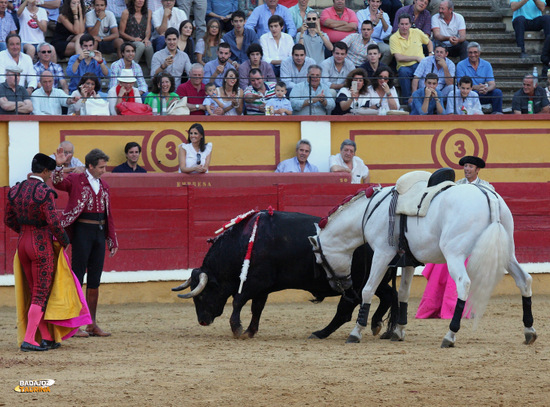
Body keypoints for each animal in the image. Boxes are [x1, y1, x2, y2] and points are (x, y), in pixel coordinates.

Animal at [172, 212, 396, 340]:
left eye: (201, 295)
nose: (202, 321)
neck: (244, 243)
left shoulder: (255, 282)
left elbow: (238, 301)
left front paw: (237, 329)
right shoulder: (262, 288)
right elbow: (256, 308)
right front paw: (250, 331)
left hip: (354, 285)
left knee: (345, 311)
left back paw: (320, 333)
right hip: (374, 280)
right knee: (388, 295)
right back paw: (379, 326)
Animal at [310, 180, 540, 350]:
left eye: (319, 260)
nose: (341, 286)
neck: (369, 211)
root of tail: (487, 195)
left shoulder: (383, 254)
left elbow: (368, 289)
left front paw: (356, 332)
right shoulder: (408, 261)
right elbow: (403, 293)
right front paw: (398, 331)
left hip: (454, 253)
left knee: (463, 284)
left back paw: (450, 335)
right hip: (507, 252)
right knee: (524, 279)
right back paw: (529, 331)